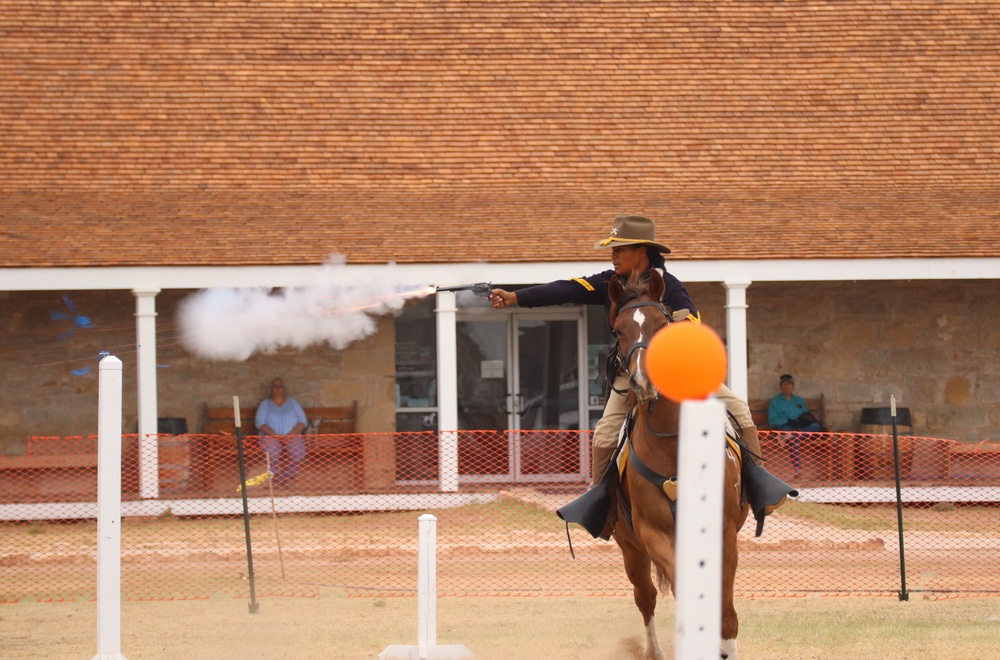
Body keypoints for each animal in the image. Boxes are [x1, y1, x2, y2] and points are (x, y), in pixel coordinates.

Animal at [604, 270, 748, 660]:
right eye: (618, 331)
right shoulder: (652, 533)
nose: (642, 380)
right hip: (631, 550)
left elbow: (726, 607)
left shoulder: (725, 531)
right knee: (646, 596)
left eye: (660, 326)